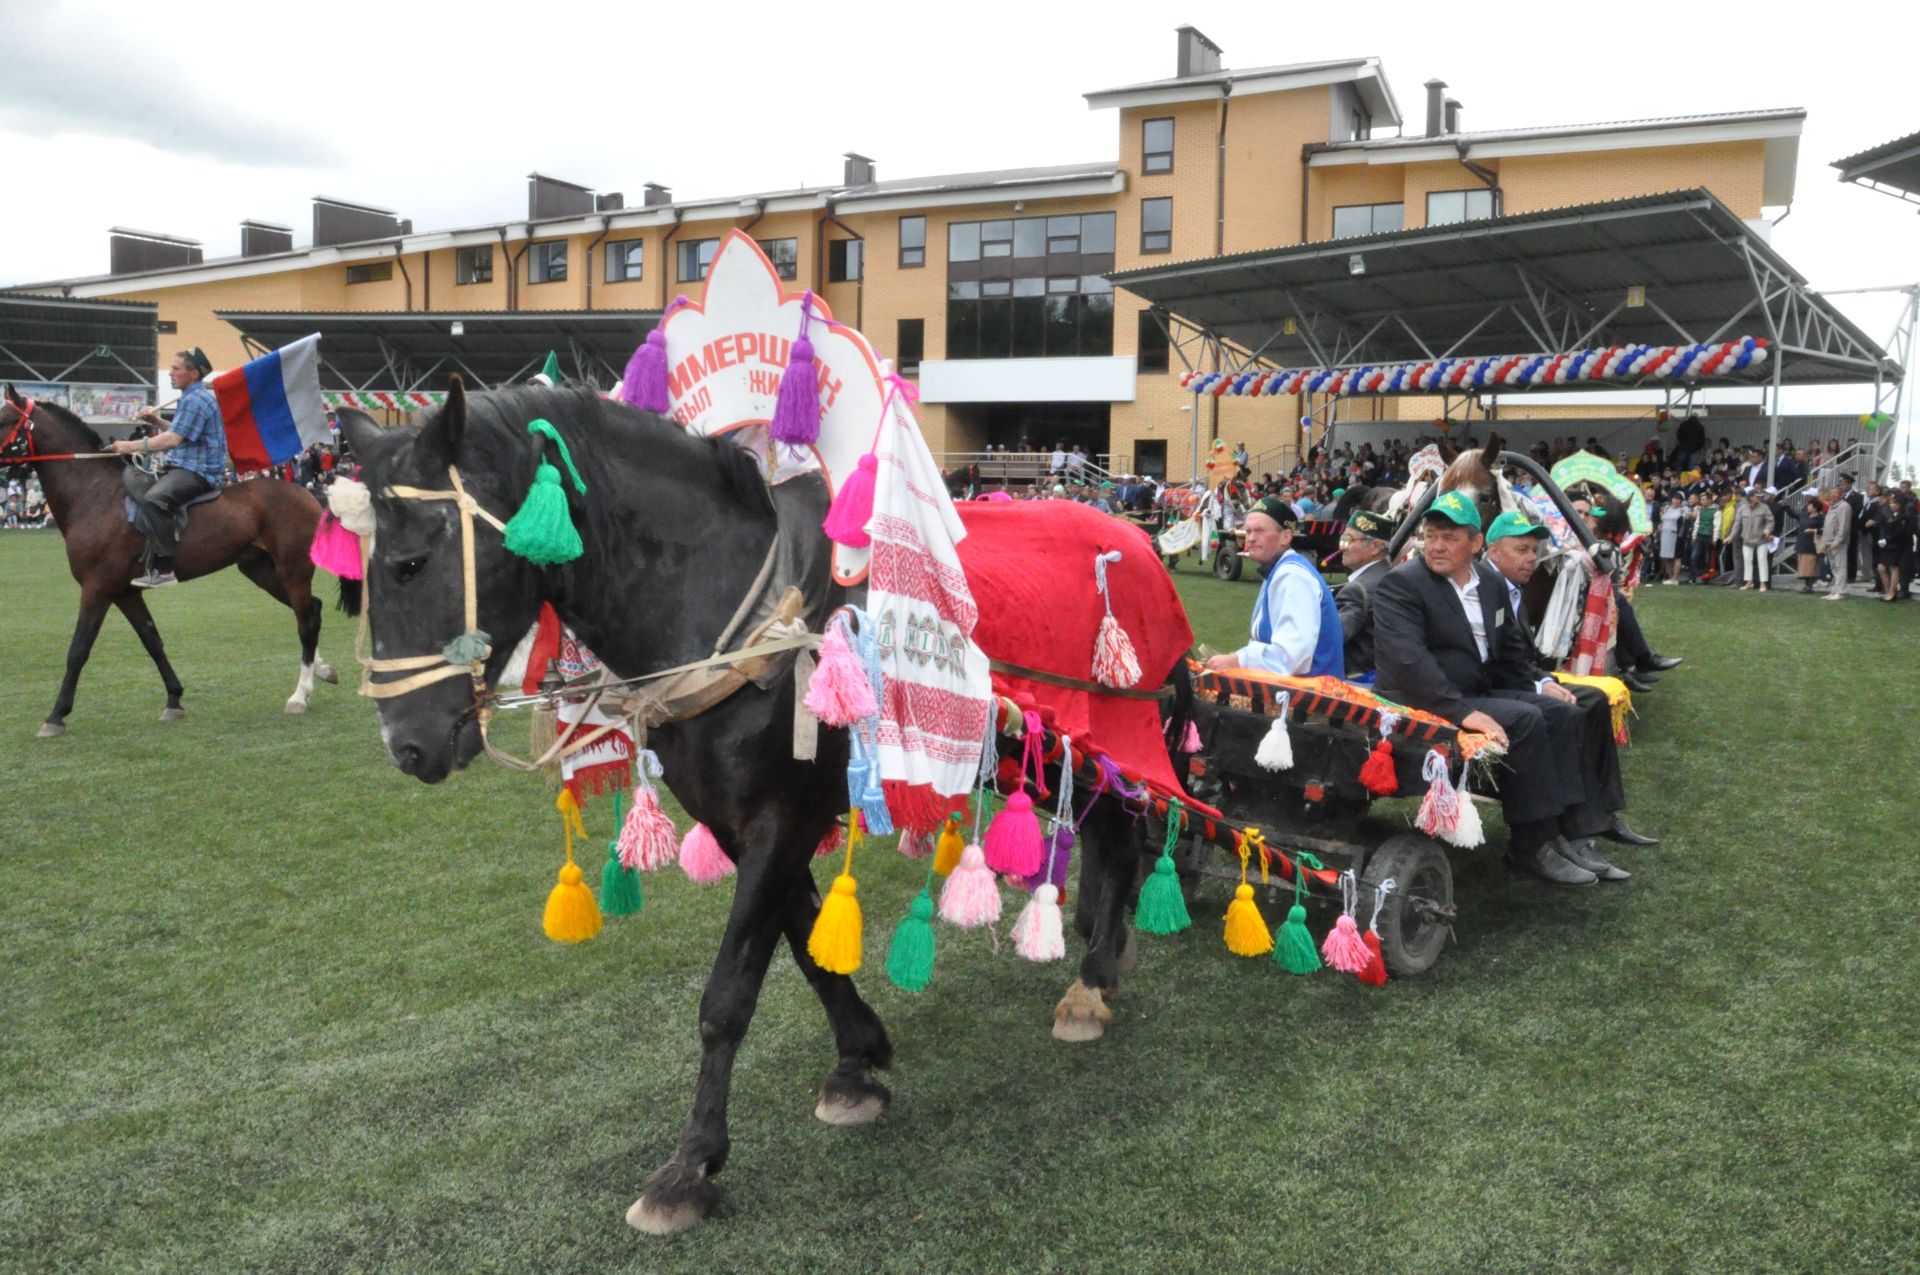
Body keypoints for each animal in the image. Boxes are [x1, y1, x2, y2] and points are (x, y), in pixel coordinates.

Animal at [0, 384, 341, 733]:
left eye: (4, 419)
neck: (96, 496)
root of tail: (307, 493)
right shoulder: (124, 592)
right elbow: (152, 641)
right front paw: (174, 699)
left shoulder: (97, 588)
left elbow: (79, 649)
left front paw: (56, 715)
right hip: (261, 570)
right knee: (310, 610)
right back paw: (321, 672)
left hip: (293, 568)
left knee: (305, 620)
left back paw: (299, 696)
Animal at [345, 380, 1175, 1236]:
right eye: (367, 568)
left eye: (411, 562)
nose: (406, 744)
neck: (733, 610)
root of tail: (1133, 540)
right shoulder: (742, 821)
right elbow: (807, 945)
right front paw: (858, 1059)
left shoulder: (783, 816)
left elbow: (729, 994)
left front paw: (690, 1162)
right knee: (1111, 835)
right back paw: (1103, 951)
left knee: (1128, 833)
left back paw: (1093, 979)